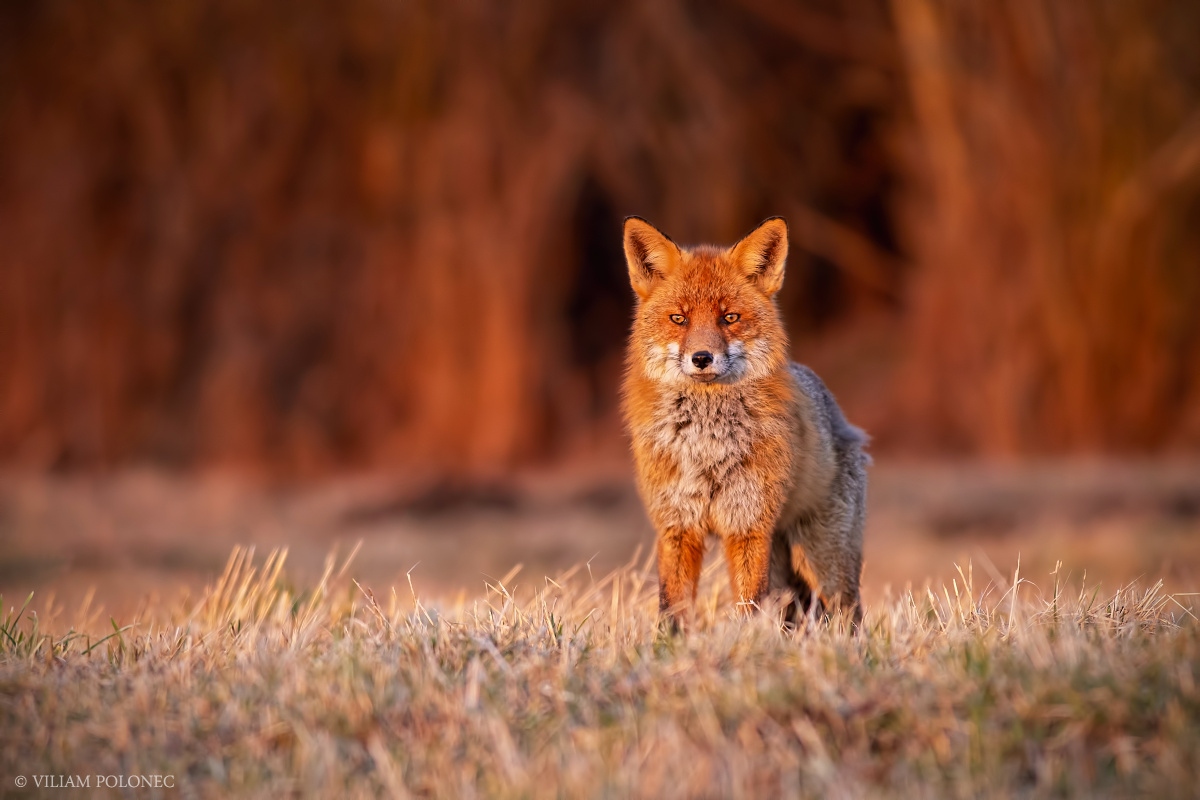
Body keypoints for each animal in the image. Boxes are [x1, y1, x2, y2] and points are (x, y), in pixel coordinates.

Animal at [624, 215, 868, 628]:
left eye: (729, 318)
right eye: (679, 319)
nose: (701, 358)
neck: (707, 444)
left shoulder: (748, 526)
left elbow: (749, 607)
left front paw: (744, 640)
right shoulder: (677, 525)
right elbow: (672, 607)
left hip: (825, 561)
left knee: (849, 615)